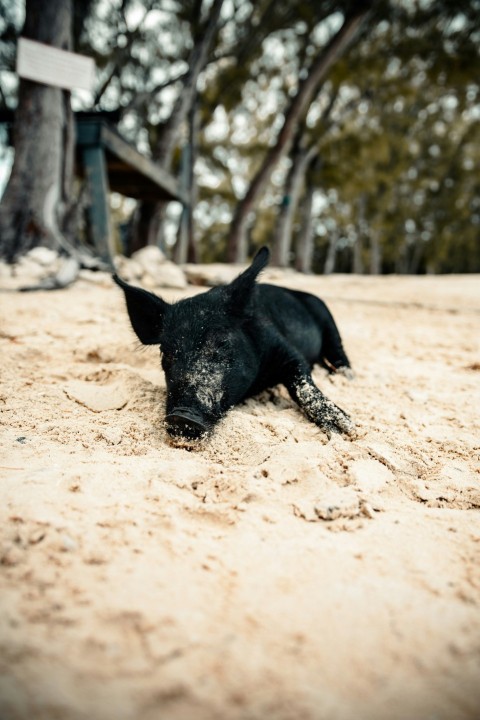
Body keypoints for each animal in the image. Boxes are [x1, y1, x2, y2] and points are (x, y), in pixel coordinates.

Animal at [113, 247, 354, 442]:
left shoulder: (286, 350)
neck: (259, 383)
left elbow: (302, 383)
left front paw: (345, 429)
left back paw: (346, 378)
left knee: (339, 354)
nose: (181, 416)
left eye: (222, 344)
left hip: (328, 319)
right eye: (166, 353)